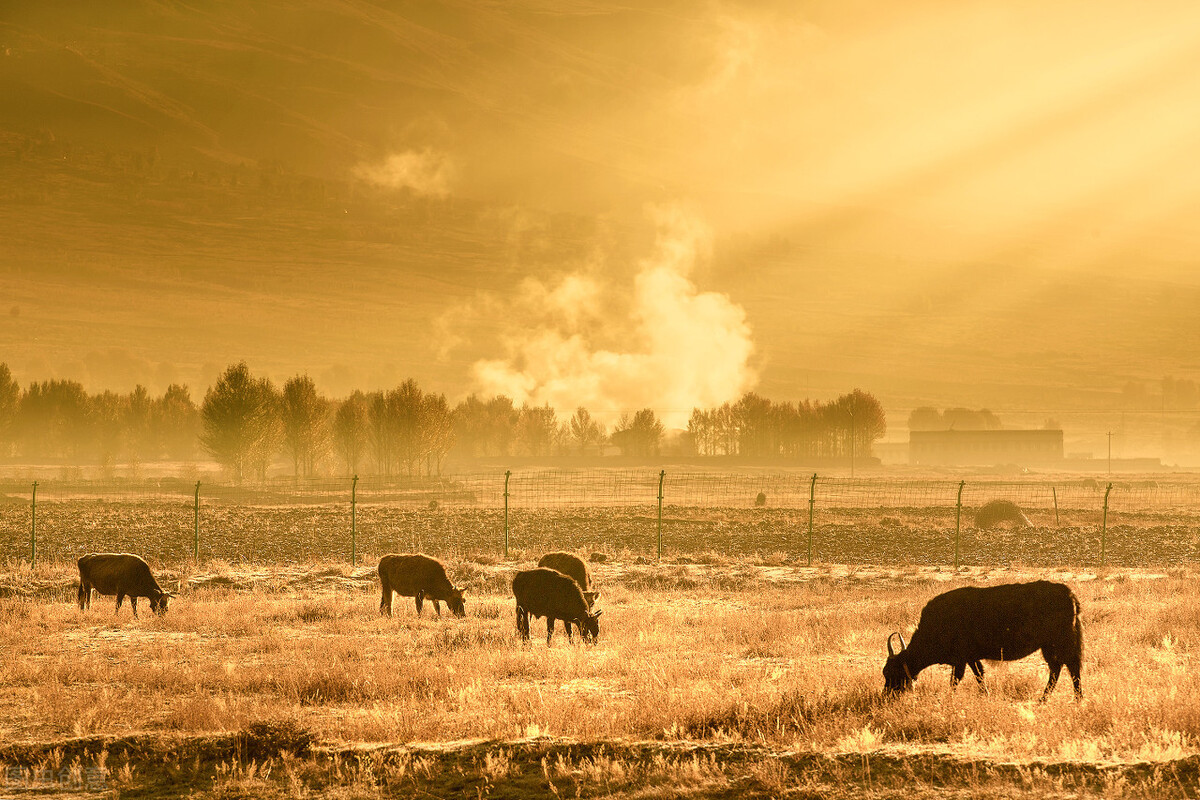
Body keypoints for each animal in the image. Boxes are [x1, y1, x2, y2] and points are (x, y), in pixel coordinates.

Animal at [883, 582, 1089, 700]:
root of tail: (1069, 594)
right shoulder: (971, 658)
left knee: (1069, 668)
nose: (886, 696)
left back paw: (1073, 699)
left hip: (1058, 643)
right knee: (1059, 669)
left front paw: (949, 698)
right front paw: (986, 695)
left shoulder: (961, 660)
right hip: (1051, 646)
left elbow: (956, 680)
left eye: (890, 673)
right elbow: (979, 676)